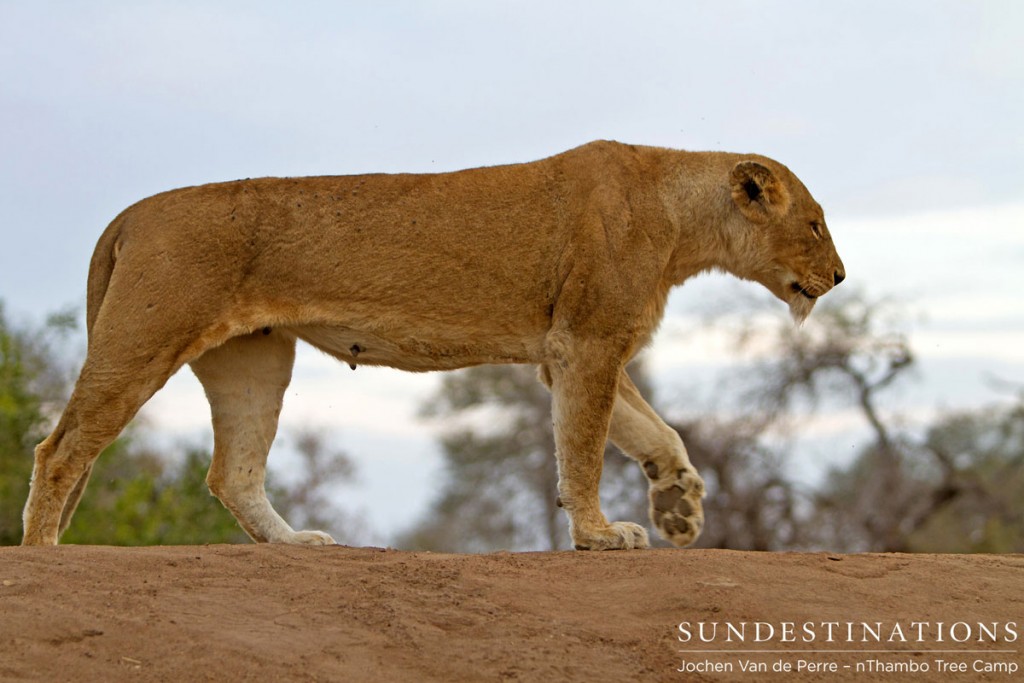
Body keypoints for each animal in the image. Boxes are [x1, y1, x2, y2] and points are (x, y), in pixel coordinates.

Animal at [19, 140, 843, 548]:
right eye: (814, 223)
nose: (837, 275)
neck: (681, 218)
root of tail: (132, 212)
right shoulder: (585, 342)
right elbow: (583, 448)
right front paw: (600, 534)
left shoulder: (576, 351)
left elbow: (655, 430)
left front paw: (678, 508)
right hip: (146, 335)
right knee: (60, 449)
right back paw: (42, 553)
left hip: (255, 358)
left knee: (232, 473)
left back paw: (295, 543)